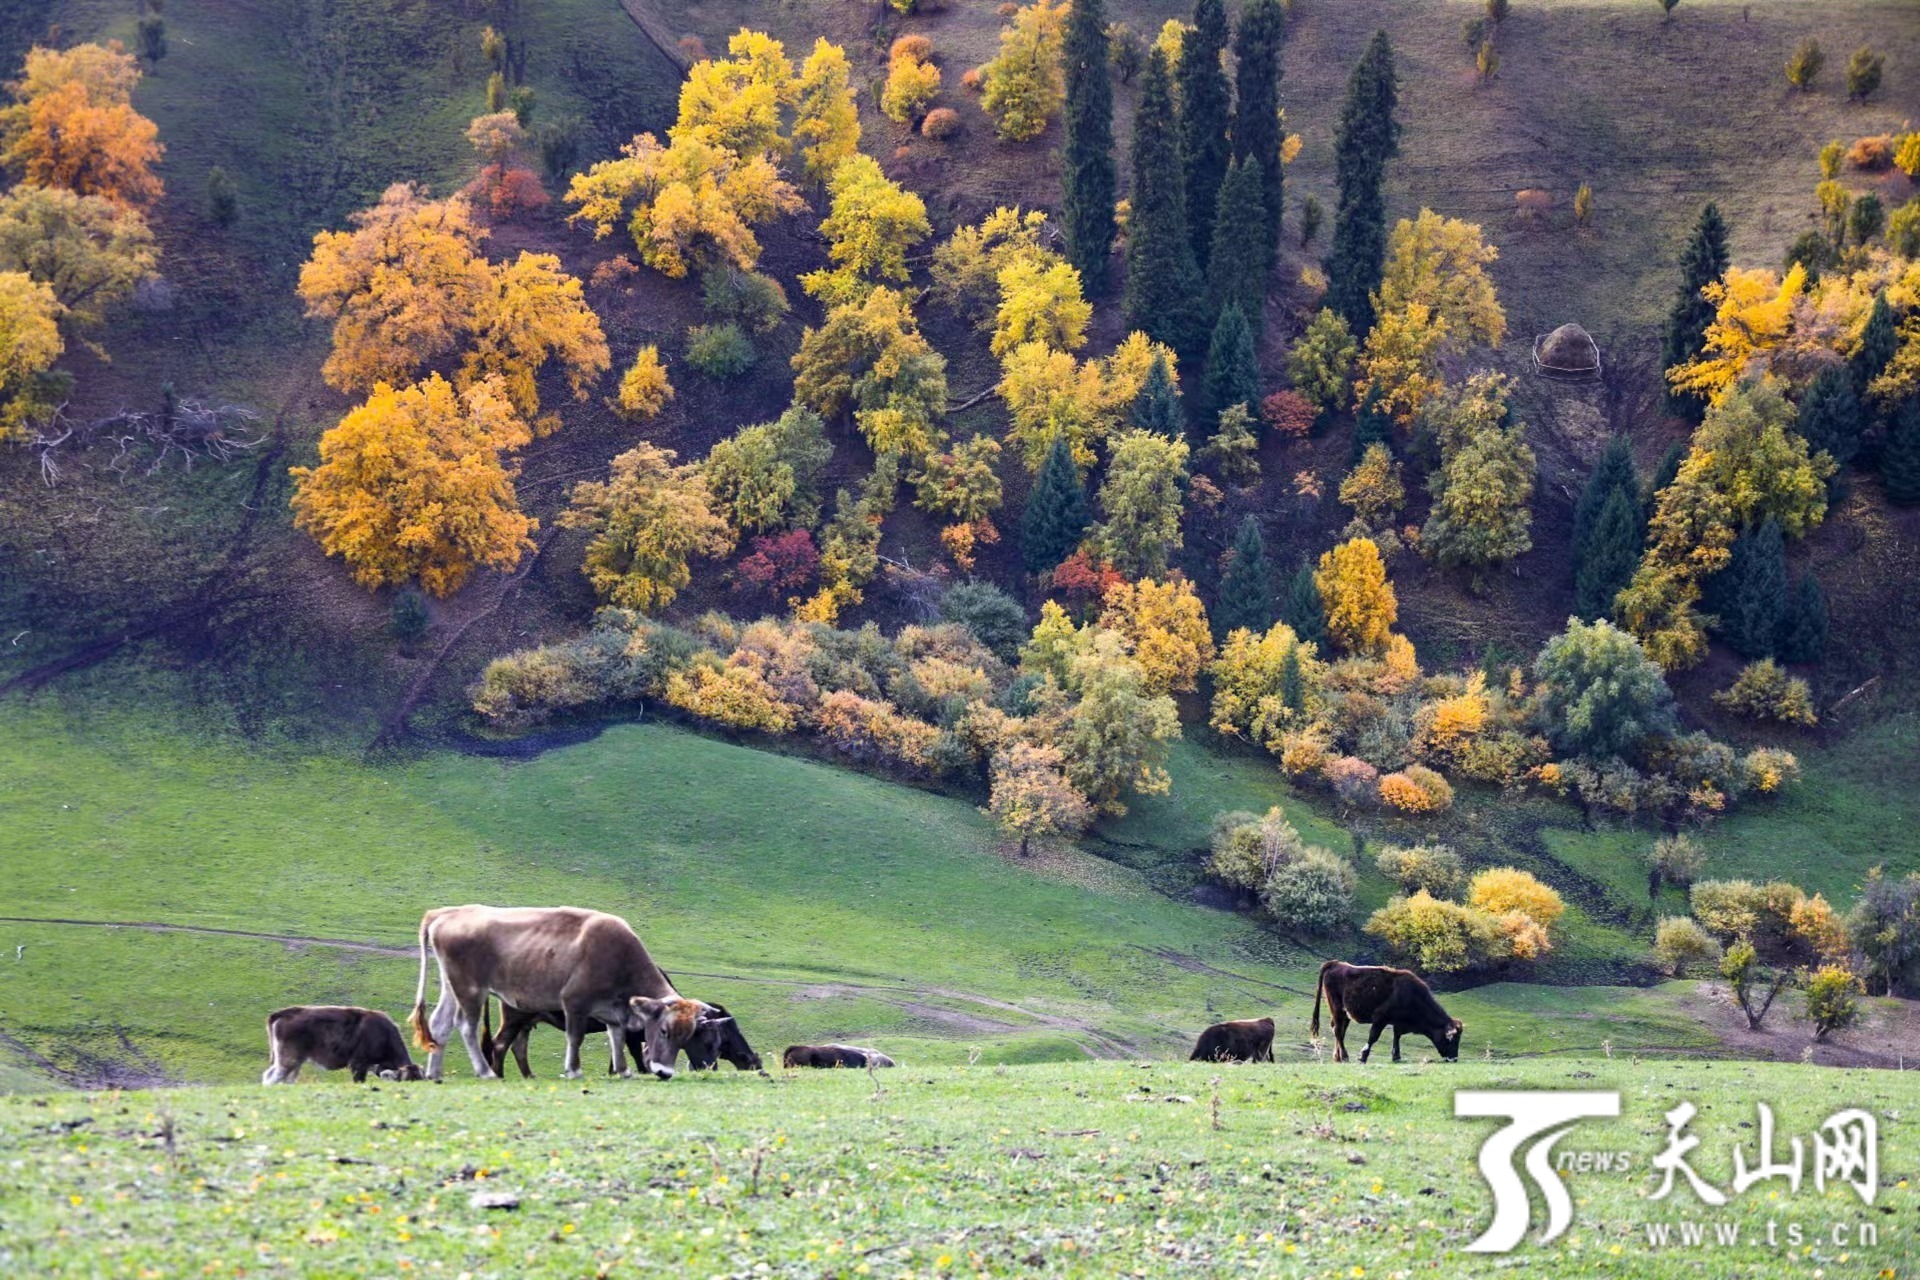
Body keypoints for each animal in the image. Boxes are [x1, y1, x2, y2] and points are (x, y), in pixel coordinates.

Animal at [263, 1005, 424, 1090]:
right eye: (406, 1082)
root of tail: (283, 1013)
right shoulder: (358, 1064)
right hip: (288, 1059)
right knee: (271, 1078)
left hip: (294, 1061)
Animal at [407, 905, 725, 1090]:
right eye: (664, 1030)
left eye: (688, 1036)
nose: (664, 1072)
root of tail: (447, 913)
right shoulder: (574, 1002)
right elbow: (576, 1037)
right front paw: (573, 1070)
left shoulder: (613, 1012)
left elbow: (617, 1038)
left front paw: (623, 1071)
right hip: (471, 988)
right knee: (466, 1026)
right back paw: (485, 1072)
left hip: (452, 985)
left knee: (440, 1023)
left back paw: (434, 1073)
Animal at [483, 997, 760, 1074]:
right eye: (708, 1041)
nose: (709, 1067)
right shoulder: (633, 1034)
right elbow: (637, 1055)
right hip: (515, 1018)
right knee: (500, 1045)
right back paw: (499, 1074)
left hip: (526, 1023)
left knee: (518, 1047)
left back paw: (528, 1076)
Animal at [1313, 955, 1459, 1066]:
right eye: (1453, 1039)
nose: (1454, 1058)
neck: (1411, 995)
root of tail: (1336, 963)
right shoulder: (1380, 1019)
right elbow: (1373, 1037)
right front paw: (1363, 1057)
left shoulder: (1397, 1022)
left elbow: (1397, 1036)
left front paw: (1396, 1057)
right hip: (1337, 1009)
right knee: (1338, 1031)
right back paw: (1344, 1057)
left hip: (1345, 1014)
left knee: (1340, 1032)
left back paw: (1337, 1057)